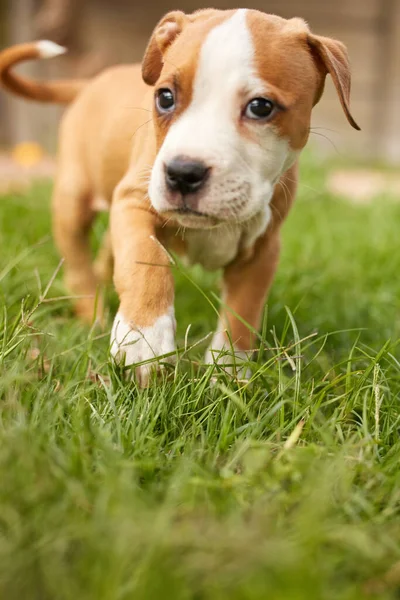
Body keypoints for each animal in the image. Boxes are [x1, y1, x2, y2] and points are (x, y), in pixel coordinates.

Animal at [0, 8, 360, 384]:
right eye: (165, 97)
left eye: (261, 107)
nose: (183, 173)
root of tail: (91, 83)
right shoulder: (134, 201)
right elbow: (145, 261)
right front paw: (143, 342)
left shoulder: (263, 249)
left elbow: (243, 311)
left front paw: (227, 374)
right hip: (73, 202)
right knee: (80, 267)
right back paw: (94, 318)